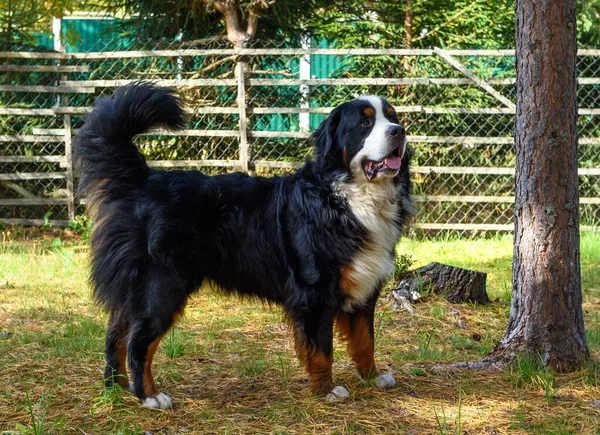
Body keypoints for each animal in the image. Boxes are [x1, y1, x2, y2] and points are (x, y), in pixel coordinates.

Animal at [74, 82, 412, 408]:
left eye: (392, 116)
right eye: (365, 123)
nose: (399, 131)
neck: (348, 197)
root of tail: (143, 180)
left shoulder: (364, 287)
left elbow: (365, 341)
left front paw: (373, 377)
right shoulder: (314, 293)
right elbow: (321, 349)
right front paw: (326, 390)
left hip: (138, 289)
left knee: (116, 335)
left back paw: (118, 388)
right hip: (162, 286)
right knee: (138, 341)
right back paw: (149, 397)